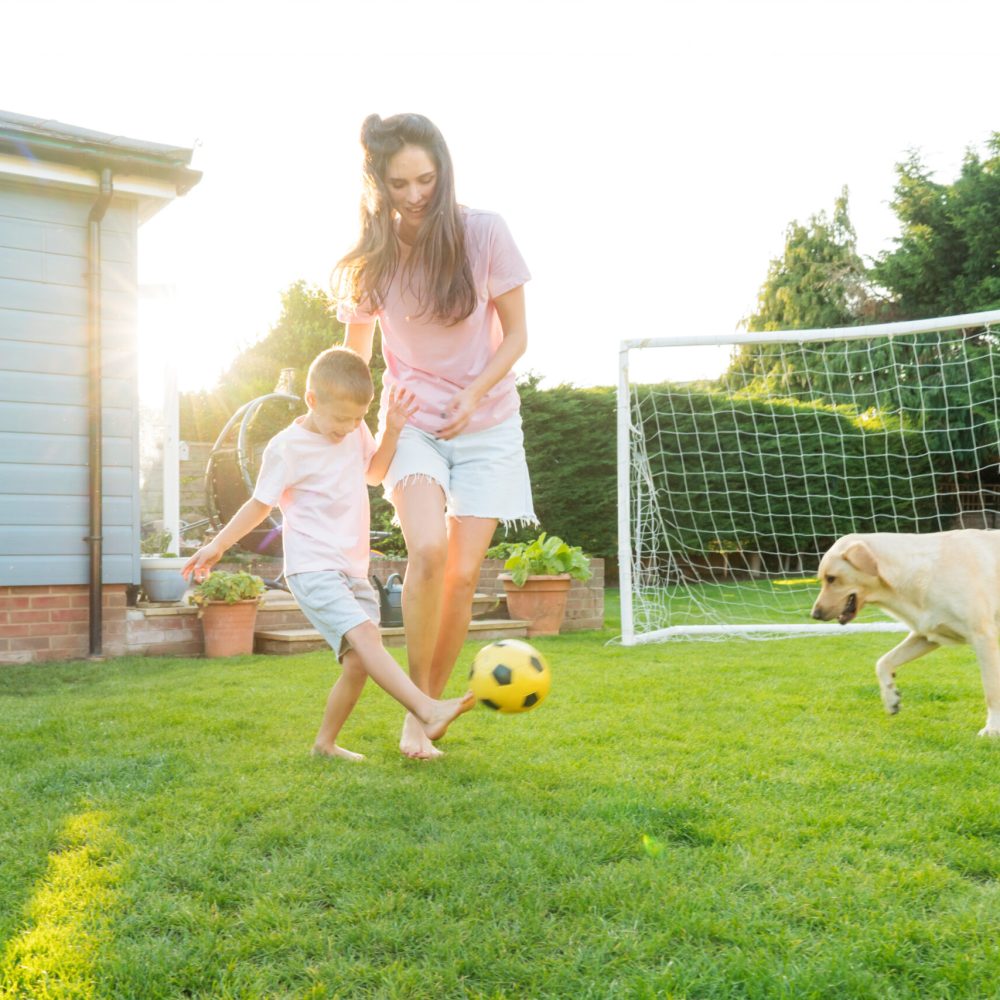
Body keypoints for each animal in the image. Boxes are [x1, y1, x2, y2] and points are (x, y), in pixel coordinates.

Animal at [812, 532, 1000, 736]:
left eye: (831, 578)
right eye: (823, 579)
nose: (814, 614)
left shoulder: (983, 638)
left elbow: (991, 691)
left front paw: (992, 729)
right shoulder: (926, 635)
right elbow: (882, 662)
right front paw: (891, 698)